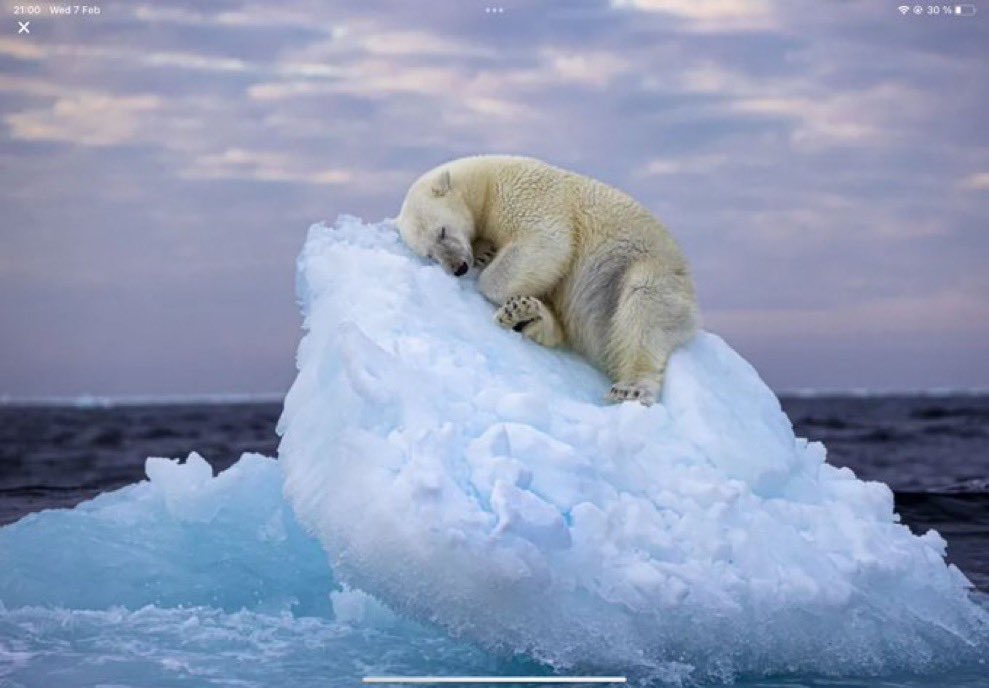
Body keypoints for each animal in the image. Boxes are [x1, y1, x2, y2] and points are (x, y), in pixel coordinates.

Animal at [395, 155, 699, 405]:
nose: (458, 267)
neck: (485, 182)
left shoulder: (525, 194)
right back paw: (524, 314)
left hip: (648, 268)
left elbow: (546, 242)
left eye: (442, 231)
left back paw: (632, 388)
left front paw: (488, 272)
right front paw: (485, 253)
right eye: (430, 254)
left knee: (644, 307)